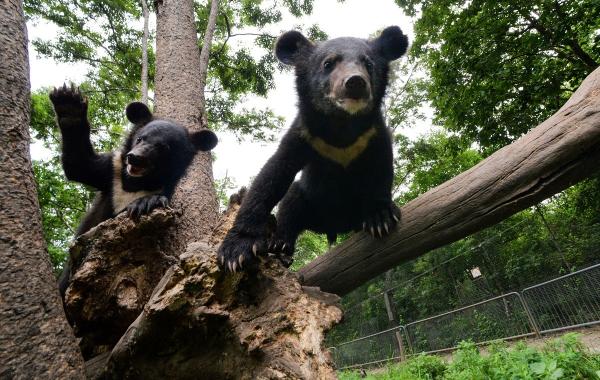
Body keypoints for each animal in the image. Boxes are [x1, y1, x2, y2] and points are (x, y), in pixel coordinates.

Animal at [49, 84, 218, 296]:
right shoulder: (112, 170)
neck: (136, 183)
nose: (135, 158)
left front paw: (145, 203)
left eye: (163, 147)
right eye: (140, 139)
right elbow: (79, 165)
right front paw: (68, 103)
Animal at [218, 26, 410, 274]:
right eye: (329, 63)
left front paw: (381, 217)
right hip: (309, 199)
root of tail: (334, 226)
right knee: (290, 203)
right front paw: (235, 251)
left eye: (368, 64)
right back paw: (280, 244)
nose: (356, 82)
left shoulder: (373, 135)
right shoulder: (304, 135)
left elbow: (381, 169)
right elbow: (271, 176)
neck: (342, 124)